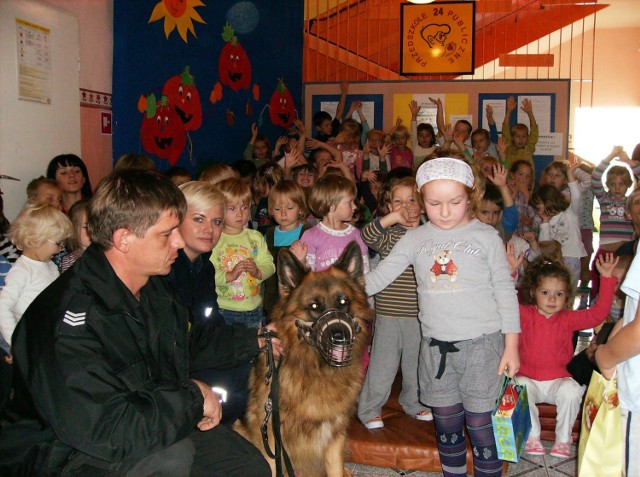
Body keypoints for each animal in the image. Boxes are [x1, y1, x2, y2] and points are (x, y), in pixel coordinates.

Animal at [236, 244, 376, 474]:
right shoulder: (271, 438)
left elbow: (336, 470)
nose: (340, 335)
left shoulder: (335, 436)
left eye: (343, 302)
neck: (316, 370)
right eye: (314, 306)